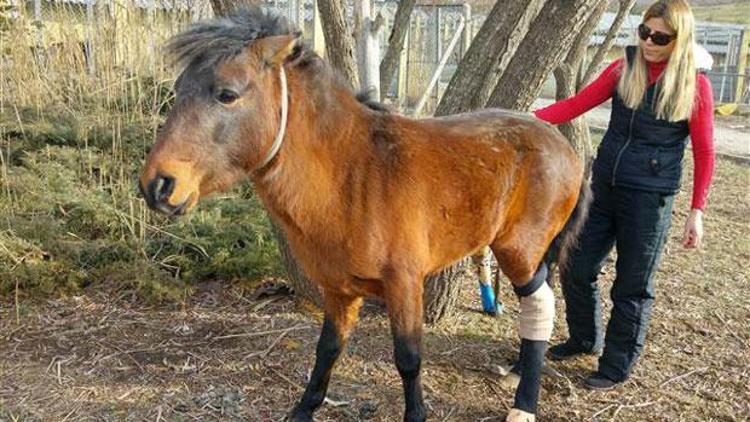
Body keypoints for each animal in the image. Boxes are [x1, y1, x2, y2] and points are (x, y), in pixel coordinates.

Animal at [140, 7, 588, 422]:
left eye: (227, 93)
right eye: (178, 90)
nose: (157, 185)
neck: (356, 177)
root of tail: (564, 146)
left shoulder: (405, 283)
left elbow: (408, 358)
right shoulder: (338, 290)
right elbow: (327, 350)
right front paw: (304, 409)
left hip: (519, 251)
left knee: (540, 302)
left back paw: (524, 404)